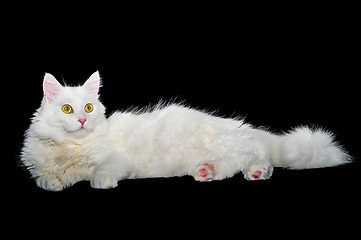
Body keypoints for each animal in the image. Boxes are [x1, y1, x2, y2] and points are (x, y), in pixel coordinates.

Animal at [20, 71, 348, 191]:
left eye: (88, 108)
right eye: (67, 109)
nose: (82, 121)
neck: (71, 147)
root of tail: (249, 128)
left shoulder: (115, 158)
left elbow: (101, 170)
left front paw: (101, 183)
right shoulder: (45, 166)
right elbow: (49, 176)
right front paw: (52, 183)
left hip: (232, 142)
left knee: (257, 157)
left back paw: (257, 172)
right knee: (231, 165)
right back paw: (207, 171)